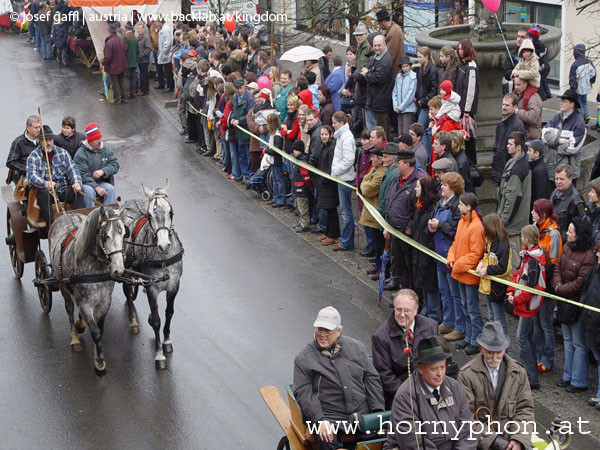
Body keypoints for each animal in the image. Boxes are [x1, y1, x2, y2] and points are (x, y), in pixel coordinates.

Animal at [48, 207, 128, 376]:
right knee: (69, 309)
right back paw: (74, 338)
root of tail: (65, 214)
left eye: (124, 233)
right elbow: (96, 332)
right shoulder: (85, 304)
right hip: (63, 286)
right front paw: (100, 363)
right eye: (105, 235)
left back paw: (80, 324)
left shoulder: (104, 302)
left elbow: (100, 330)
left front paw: (97, 356)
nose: (118, 270)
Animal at [118, 179, 182, 370]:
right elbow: (157, 320)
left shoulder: (174, 286)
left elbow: (169, 313)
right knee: (128, 292)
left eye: (170, 211)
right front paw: (159, 354)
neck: (163, 258)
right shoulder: (152, 288)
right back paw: (132, 321)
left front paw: (167, 341)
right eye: (149, 214)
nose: (164, 245)